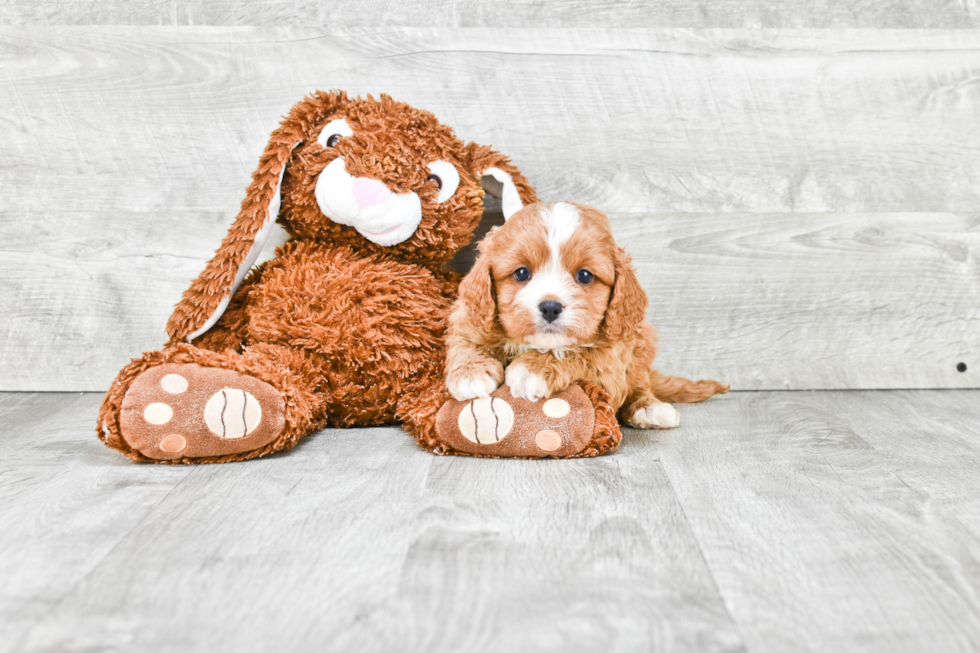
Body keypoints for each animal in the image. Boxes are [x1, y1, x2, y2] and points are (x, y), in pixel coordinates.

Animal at [446, 201, 728, 430]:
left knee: (639, 384)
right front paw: (470, 374)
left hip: (641, 344)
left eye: (584, 276)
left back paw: (649, 408)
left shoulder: (611, 362)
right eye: (521, 273)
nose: (550, 307)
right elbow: (465, 342)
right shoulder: (470, 316)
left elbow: (582, 355)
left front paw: (533, 368)